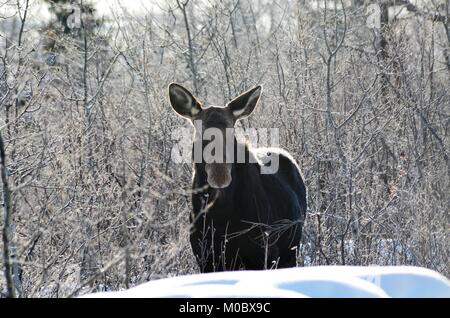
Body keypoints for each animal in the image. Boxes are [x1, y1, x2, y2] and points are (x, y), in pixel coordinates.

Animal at [167, 83, 308, 272]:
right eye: (200, 136)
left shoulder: (264, 253)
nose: (219, 176)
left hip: (290, 251)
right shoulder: (205, 257)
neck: (221, 213)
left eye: (231, 135)